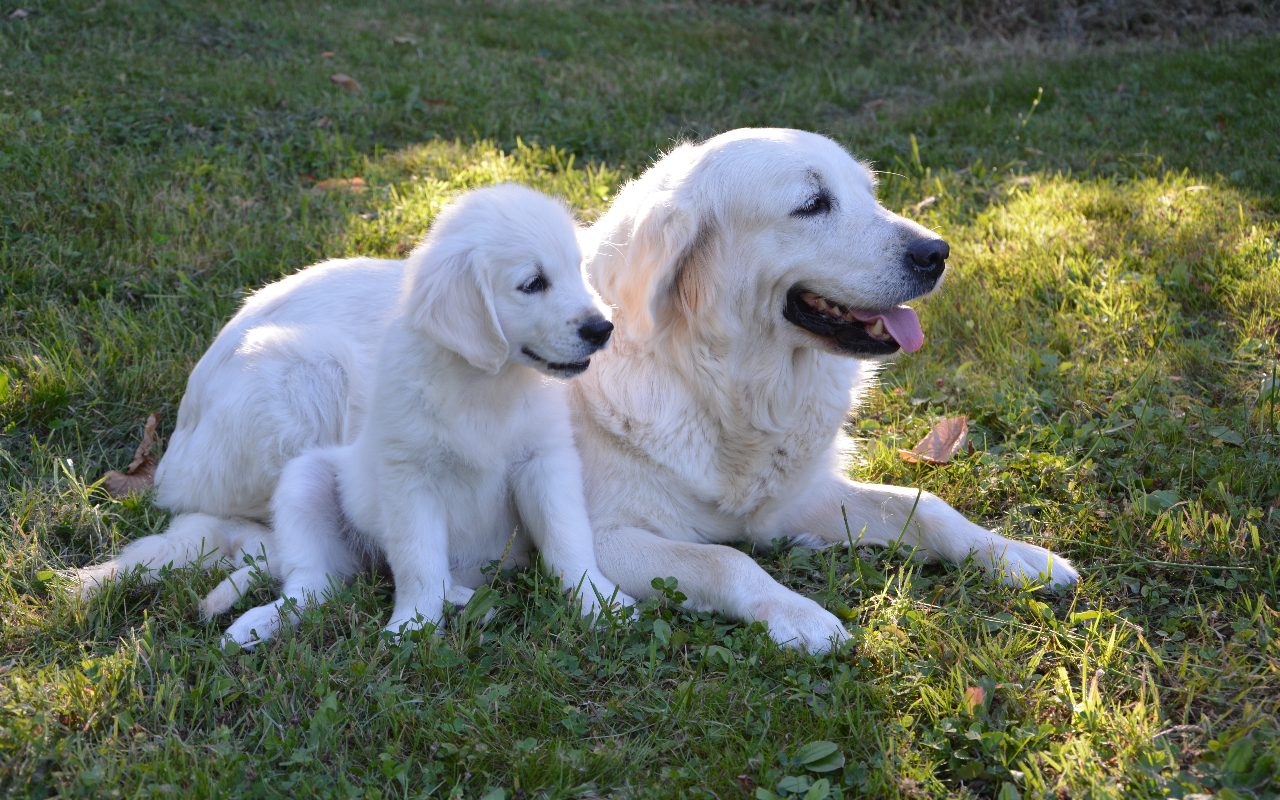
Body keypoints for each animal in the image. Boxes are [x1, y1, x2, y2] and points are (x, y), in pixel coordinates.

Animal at [74, 129, 1075, 655]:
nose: (937, 252)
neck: (717, 379)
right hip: (298, 374)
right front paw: (802, 616)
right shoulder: (614, 533)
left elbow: (925, 505)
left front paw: (1024, 558)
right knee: (224, 526)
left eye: (866, 194)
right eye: (811, 204)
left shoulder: (792, 499)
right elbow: (728, 564)